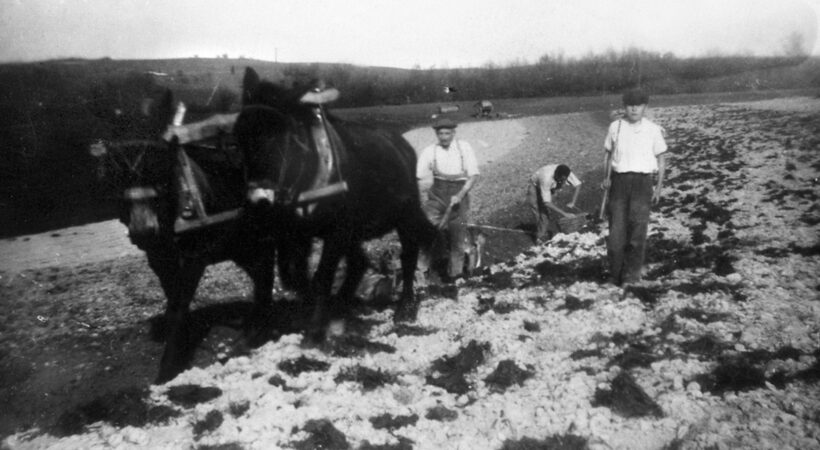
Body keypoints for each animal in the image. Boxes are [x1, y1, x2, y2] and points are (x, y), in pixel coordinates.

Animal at [93, 89, 310, 384]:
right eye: (114, 166)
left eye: (160, 159)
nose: (143, 229)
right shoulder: (160, 260)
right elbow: (173, 302)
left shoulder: (193, 259)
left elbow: (180, 306)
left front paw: (169, 366)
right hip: (247, 243)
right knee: (262, 280)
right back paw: (256, 332)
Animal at [234, 67, 438, 338]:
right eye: (238, 137)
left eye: (282, 137)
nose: (259, 199)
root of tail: (403, 146)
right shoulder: (297, 234)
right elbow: (294, 276)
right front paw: (314, 310)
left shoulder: (337, 232)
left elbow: (322, 277)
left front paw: (316, 325)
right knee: (359, 263)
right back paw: (341, 304)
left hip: (406, 215)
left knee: (408, 255)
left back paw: (405, 306)